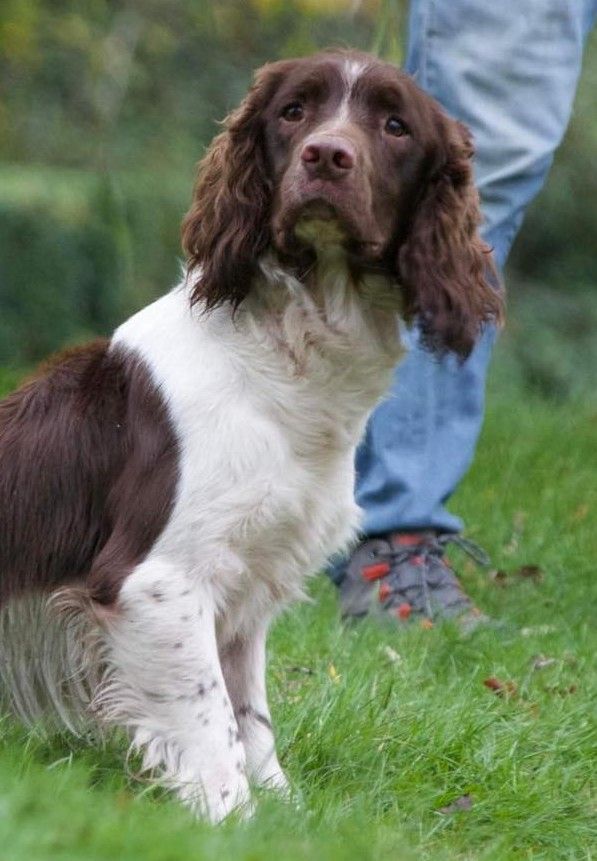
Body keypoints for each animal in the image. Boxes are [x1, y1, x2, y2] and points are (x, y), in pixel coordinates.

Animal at [0, 52, 500, 820]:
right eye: (293, 112)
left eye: (395, 125)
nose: (326, 156)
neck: (288, 362)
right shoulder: (161, 581)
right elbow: (208, 717)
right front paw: (231, 818)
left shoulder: (248, 577)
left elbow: (248, 711)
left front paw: (284, 813)